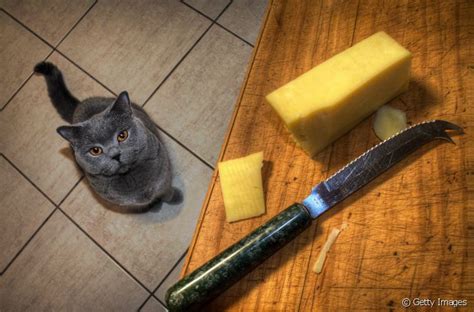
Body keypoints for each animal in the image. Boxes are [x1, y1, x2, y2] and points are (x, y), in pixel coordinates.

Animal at [33, 61, 178, 212]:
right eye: (95, 150)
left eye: (122, 135)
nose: (115, 154)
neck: (131, 176)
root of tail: (78, 106)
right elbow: (145, 203)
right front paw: (153, 207)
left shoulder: (164, 174)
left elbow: (166, 191)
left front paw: (176, 198)